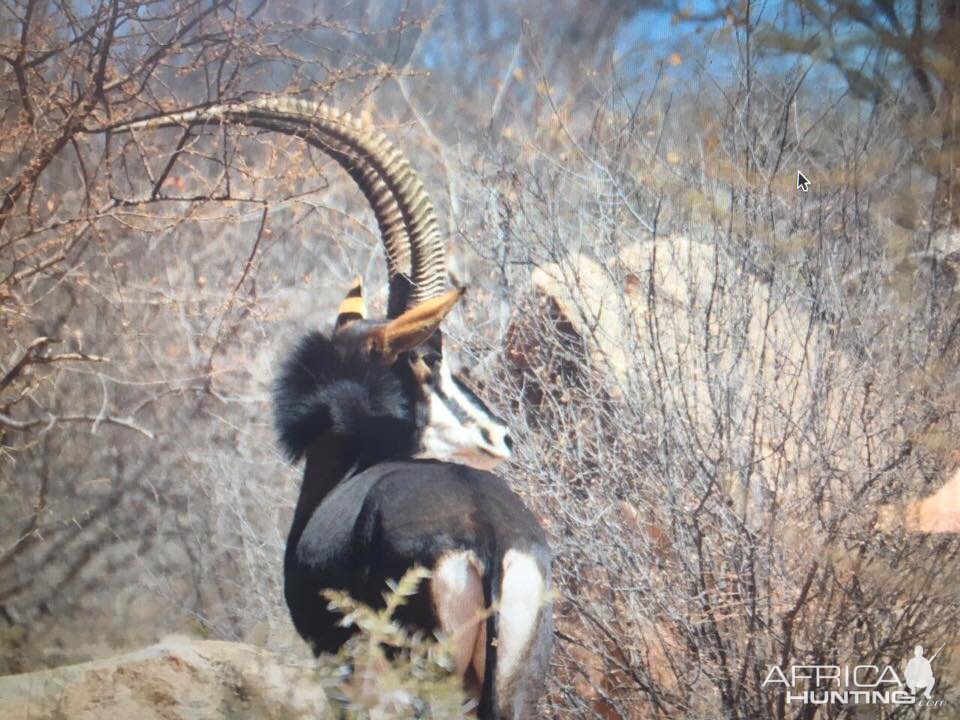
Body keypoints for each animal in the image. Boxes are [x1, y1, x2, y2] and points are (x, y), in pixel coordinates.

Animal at [115, 98, 552, 716]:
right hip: (509, 685)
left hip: (417, 668)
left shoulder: (332, 662)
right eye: (428, 358)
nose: (502, 436)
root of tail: (488, 532)